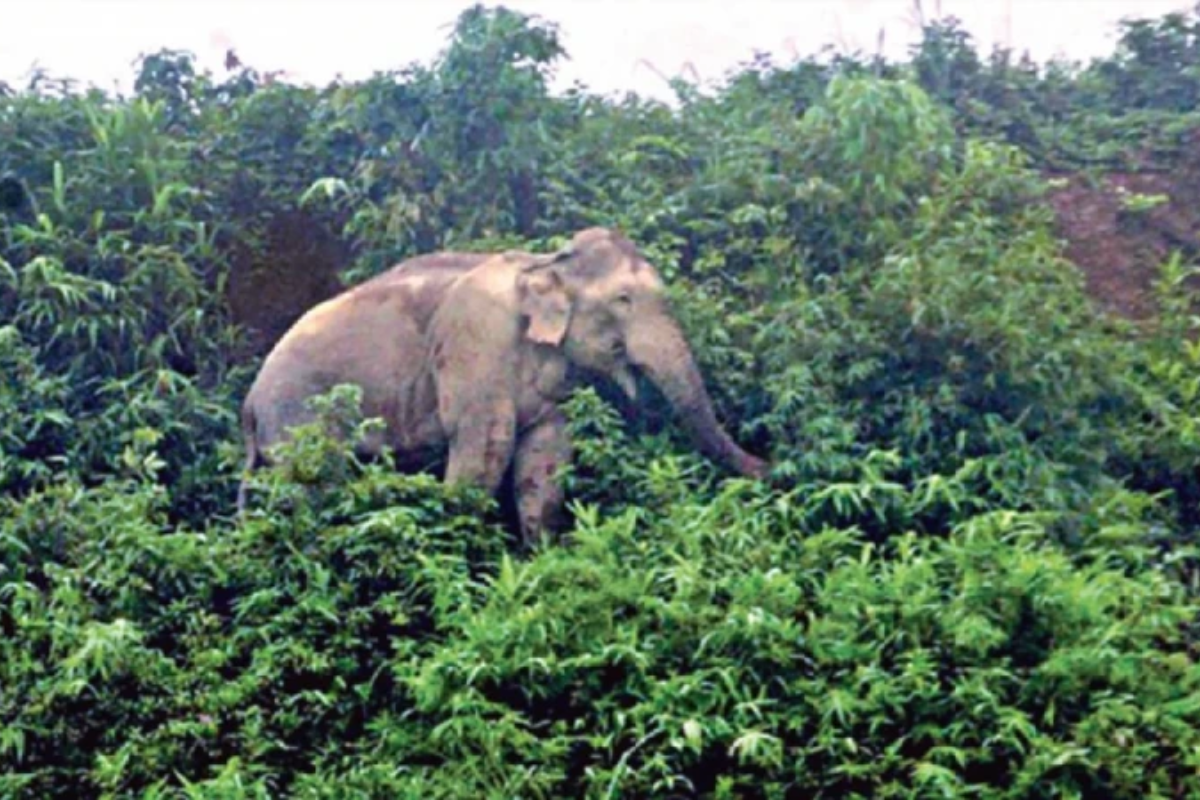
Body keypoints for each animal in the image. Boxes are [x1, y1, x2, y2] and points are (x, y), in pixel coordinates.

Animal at [237, 226, 768, 545]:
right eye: (623, 299)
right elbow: (483, 451)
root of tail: (249, 403)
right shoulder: (476, 342)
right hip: (297, 418)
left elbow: (545, 459)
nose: (772, 467)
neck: (545, 262)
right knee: (312, 491)